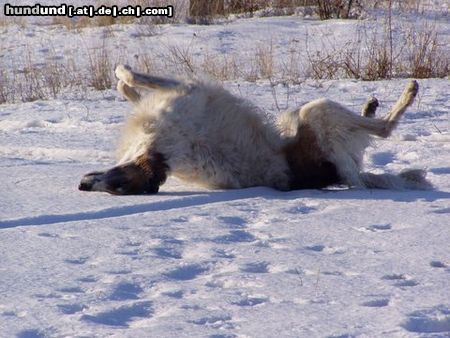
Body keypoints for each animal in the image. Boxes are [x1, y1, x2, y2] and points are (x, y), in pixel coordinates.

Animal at [79, 64, 430, 194]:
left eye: (118, 184)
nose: (83, 186)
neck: (161, 153)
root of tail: (337, 176)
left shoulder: (183, 92)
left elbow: (131, 85)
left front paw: (122, 76)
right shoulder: (185, 92)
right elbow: (131, 81)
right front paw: (122, 73)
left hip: (305, 116)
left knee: (376, 130)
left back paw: (377, 102)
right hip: (317, 112)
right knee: (383, 129)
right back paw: (402, 94)